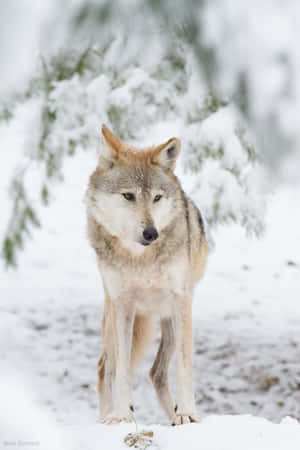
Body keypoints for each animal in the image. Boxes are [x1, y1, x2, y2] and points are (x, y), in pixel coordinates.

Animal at [85, 125, 207, 426]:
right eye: (128, 196)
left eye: (157, 198)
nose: (151, 233)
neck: (141, 261)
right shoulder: (123, 307)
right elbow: (121, 372)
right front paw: (120, 415)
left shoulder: (181, 302)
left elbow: (184, 368)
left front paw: (186, 413)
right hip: (117, 319)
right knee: (106, 367)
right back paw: (107, 415)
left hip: (171, 321)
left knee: (157, 372)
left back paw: (174, 413)